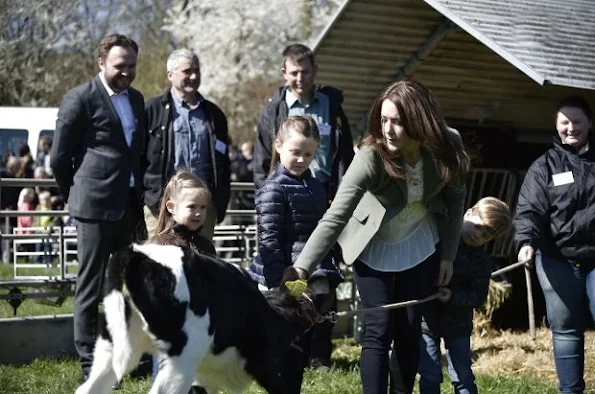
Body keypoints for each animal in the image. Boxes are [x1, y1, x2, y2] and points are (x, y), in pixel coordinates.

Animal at [78, 243, 326, 394]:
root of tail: (135, 254)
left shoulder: (205, 377)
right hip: (183, 356)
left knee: (88, 388)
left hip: (111, 345)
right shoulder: (263, 363)